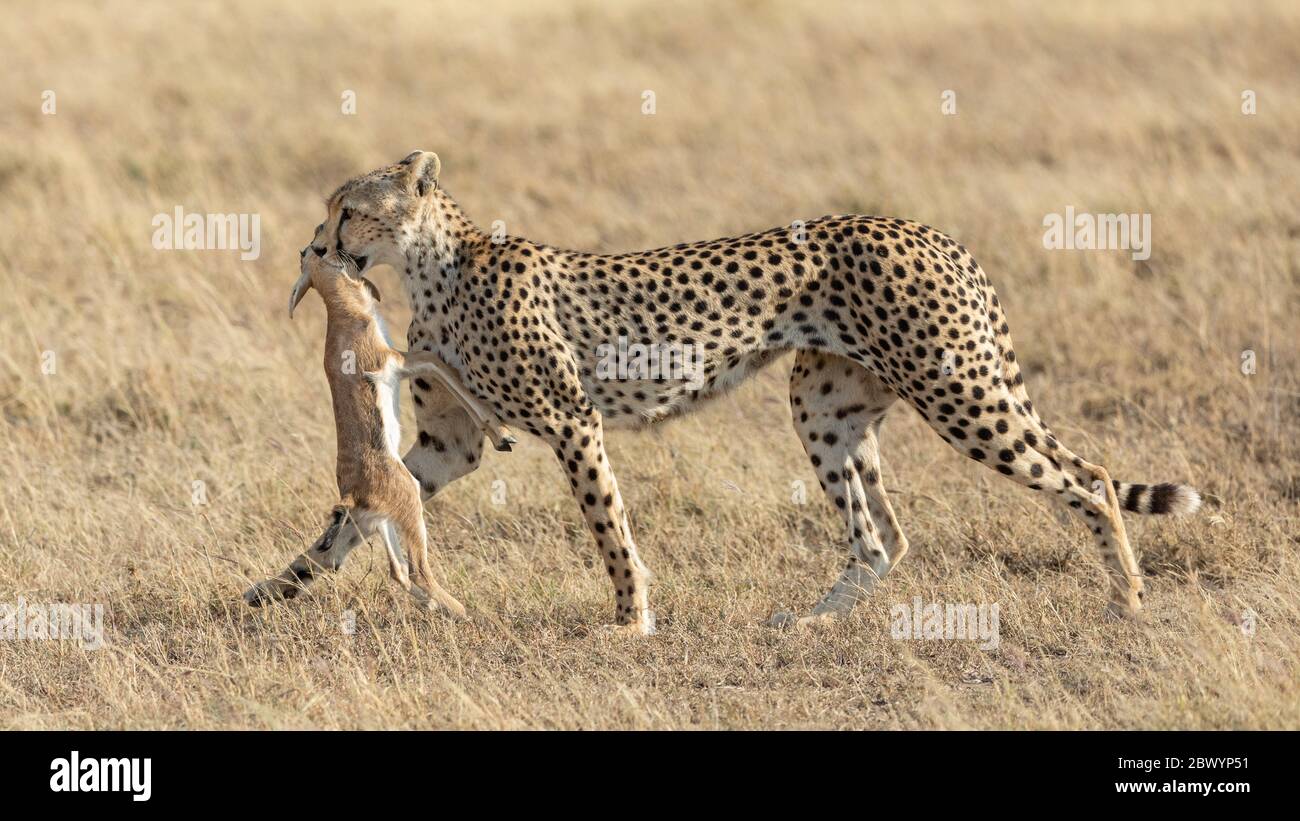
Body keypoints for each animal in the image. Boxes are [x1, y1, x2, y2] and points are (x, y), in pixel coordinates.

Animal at [271, 150, 1196, 631]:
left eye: (351, 209)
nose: (318, 243)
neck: (435, 265)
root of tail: (926, 229)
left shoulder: (571, 420)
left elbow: (608, 525)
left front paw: (631, 619)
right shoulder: (450, 444)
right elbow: (353, 513)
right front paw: (270, 591)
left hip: (959, 392)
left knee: (1090, 479)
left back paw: (1127, 598)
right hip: (826, 405)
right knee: (883, 538)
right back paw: (810, 621)